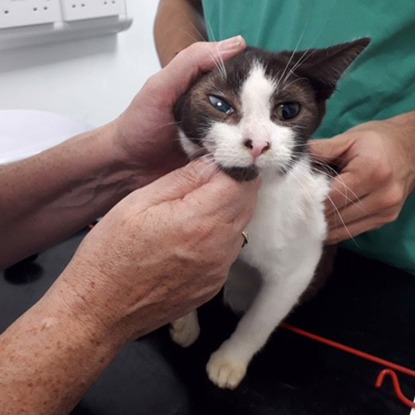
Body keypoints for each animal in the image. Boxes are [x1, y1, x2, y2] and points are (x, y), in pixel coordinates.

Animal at [171, 39, 370, 390]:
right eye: (219, 104)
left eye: (288, 110)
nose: (258, 144)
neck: (256, 197)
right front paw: (184, 319)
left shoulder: (302, 253)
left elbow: (263, 317)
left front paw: (230, 361)